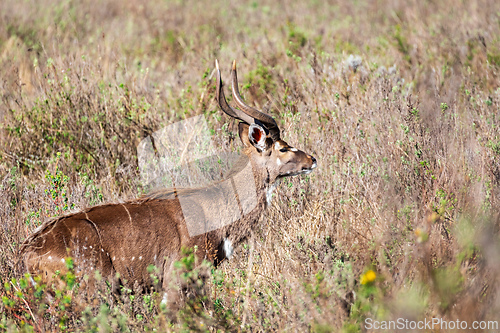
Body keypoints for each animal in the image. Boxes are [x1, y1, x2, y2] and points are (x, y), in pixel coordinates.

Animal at [20, 60, 316, 306]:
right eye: (282, 147)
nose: (312, 159)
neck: (216, 215)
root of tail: (28, 253)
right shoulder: (177, 280)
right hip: (94, 292)